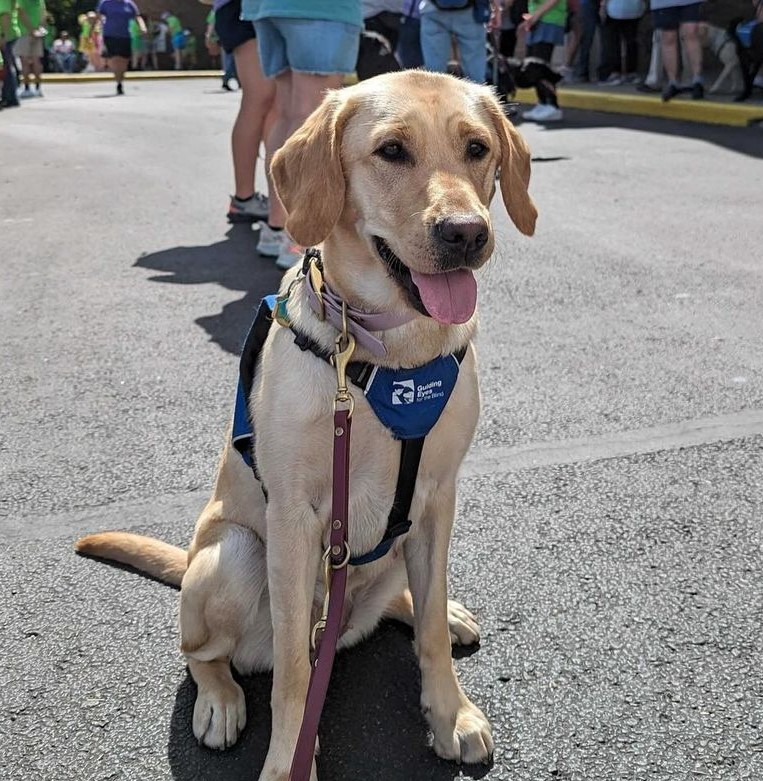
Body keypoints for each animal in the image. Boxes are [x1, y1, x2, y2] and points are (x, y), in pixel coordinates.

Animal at [74, 68, 536, 780]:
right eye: (392, 151)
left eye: (478, 148)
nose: (466, 233)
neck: (385, 353)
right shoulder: (294, 518)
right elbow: (294, 671)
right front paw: (290, 757)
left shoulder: (437, 499)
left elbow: (429, 628)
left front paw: (450, 712)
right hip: (233, 555)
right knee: (204, 653)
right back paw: (220, 700)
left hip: (395, 545)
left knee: (406, 602)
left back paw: (432, 609)